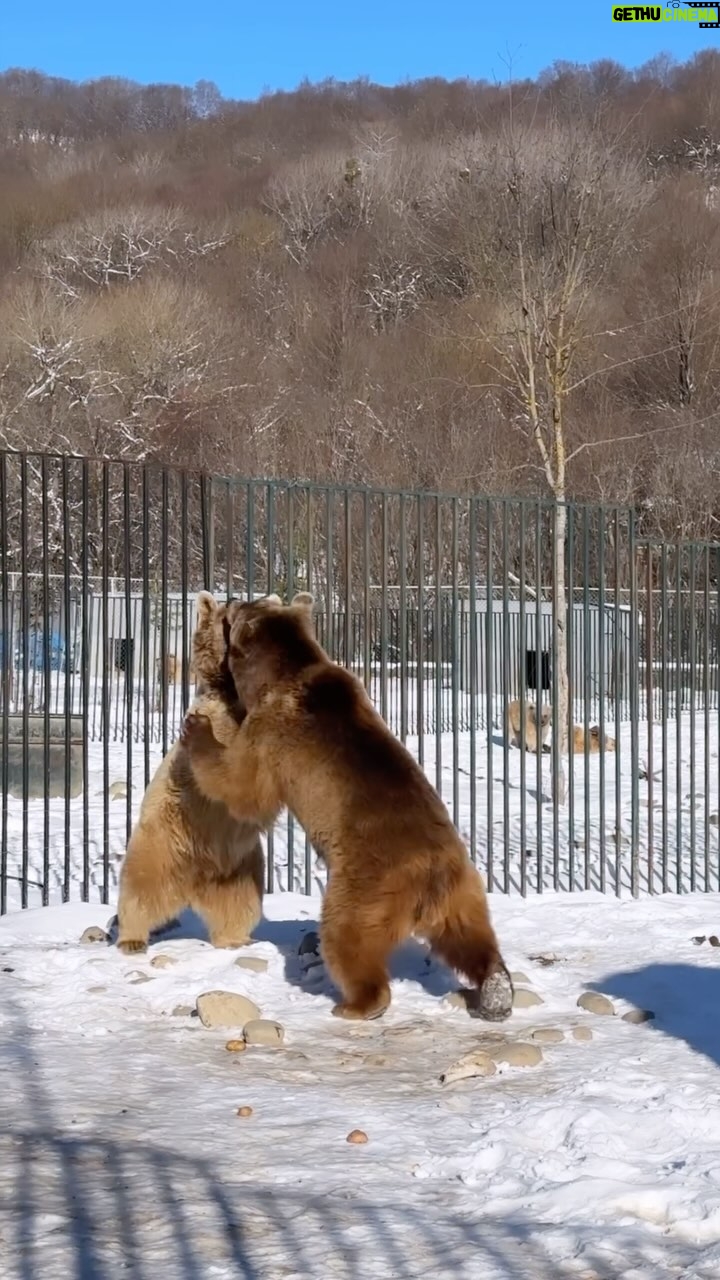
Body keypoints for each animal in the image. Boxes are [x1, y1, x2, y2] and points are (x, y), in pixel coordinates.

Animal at [114, 591, 267, 955]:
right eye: (225, 612)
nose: (235, 598)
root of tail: (195, 881)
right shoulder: (216, 716)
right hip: (160, 843)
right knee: (138, 890)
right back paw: (132, 938)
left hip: (242, 868)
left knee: (241, 905)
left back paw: (237, 938)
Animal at [179, 591, 513, 1023]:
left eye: (238, 611)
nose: (234, 597)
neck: (279, 676)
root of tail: (431, 873)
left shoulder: (270, 734)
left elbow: (242, 784)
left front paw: (197, 726)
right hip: (464, 893)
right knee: (471, 938)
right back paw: (496, 989)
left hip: (365, 887)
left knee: (347, 937)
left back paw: (355, 1004)